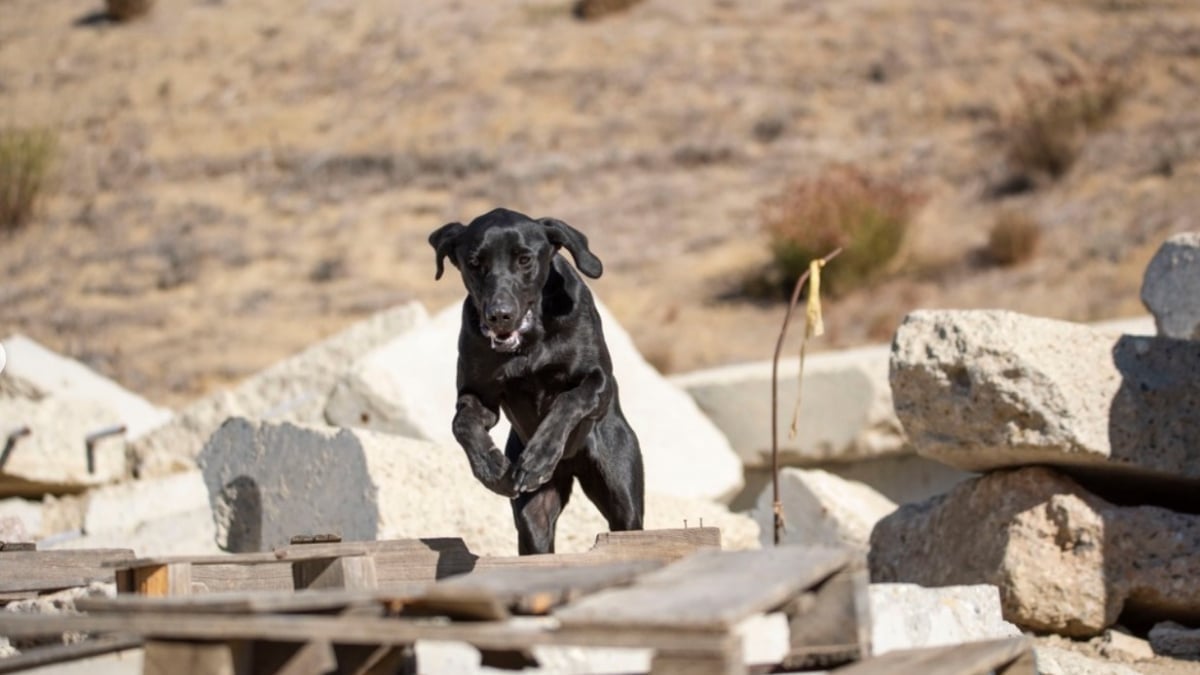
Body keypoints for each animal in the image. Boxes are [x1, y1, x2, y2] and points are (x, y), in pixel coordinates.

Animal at [427, 208, 643, 552]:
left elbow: (571, 399)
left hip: (623, 497)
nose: (499, 315)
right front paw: (490, 468)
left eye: (525, 259)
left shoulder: (599, 382)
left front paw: (539, 457)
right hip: (534, 518)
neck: (531, 340)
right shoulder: (478, 397)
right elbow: (463, 424)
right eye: (474, 263)